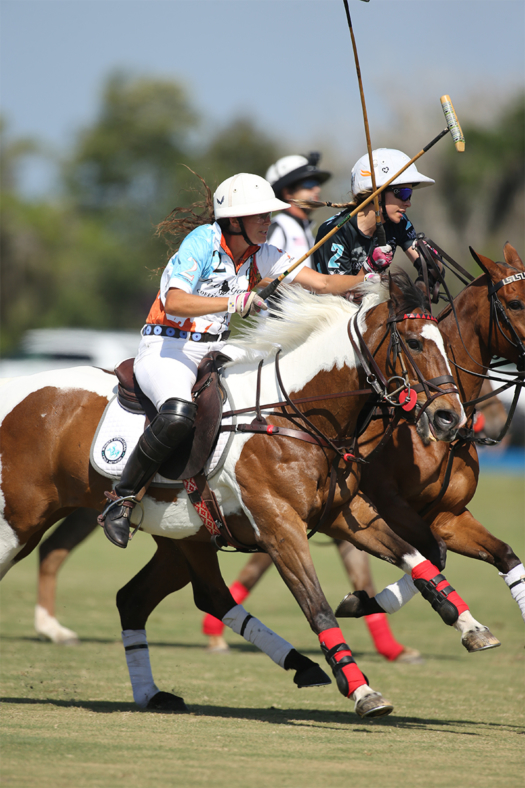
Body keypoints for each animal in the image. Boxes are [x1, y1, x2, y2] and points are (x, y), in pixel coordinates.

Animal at [2, 274, 464, 716]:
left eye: (446, 343)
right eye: (414, 341)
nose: (450, 418)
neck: (293, 412)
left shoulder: (345, 514)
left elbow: (420, 556)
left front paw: (465, 624)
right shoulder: (280, 526)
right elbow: (317, 606)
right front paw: (363, 690)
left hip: (183, 536)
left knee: (154, 598)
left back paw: (162, 691)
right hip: (20, 522)